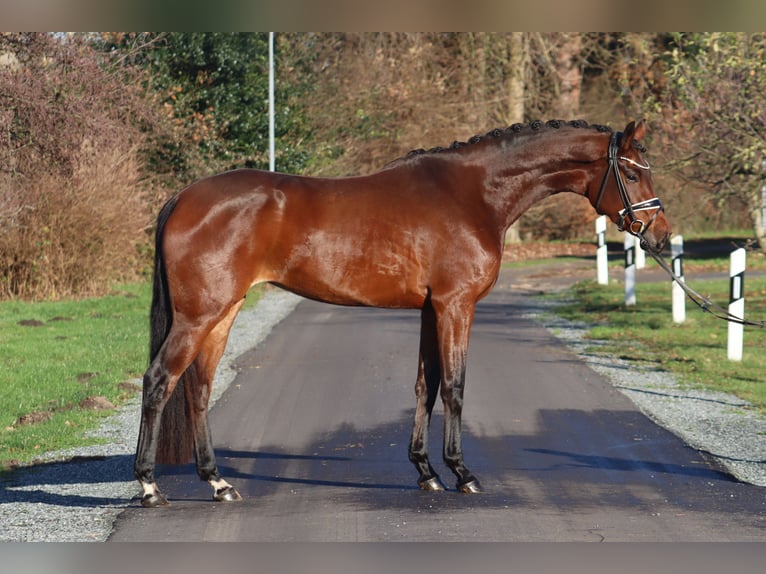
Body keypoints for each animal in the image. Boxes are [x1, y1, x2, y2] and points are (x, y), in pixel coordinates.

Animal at [136, 119, 672, 506]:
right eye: (630, 172)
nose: (662, 236)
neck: (473, 193)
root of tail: (183, 197)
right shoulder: (455, 305)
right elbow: (454, 385)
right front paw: (462, 473)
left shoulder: (430, 309)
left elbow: (425, 385)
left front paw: (426, 472)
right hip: (199, 315)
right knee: (160, 380)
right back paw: (149, 487)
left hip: (223, 312)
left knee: (199, 388)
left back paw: (218, 483)